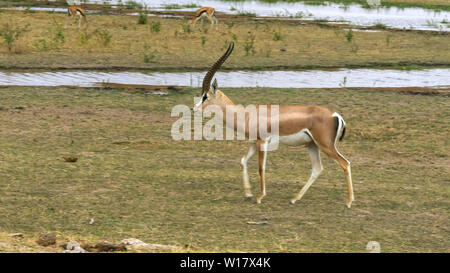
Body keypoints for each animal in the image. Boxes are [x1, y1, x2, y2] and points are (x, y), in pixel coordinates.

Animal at [193, 42, 356, 207]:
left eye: (205, 96)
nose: (194, 109)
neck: (246, 115)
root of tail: (335, 115)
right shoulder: (254, 143)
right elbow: (243, 161)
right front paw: (248, 193)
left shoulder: (262, 142)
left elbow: (261, 168)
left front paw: (259, 197)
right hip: (312, 145)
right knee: (317, 168)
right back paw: (294, 199)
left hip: (325, 145)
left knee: (345, 163)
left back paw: (349, 202)